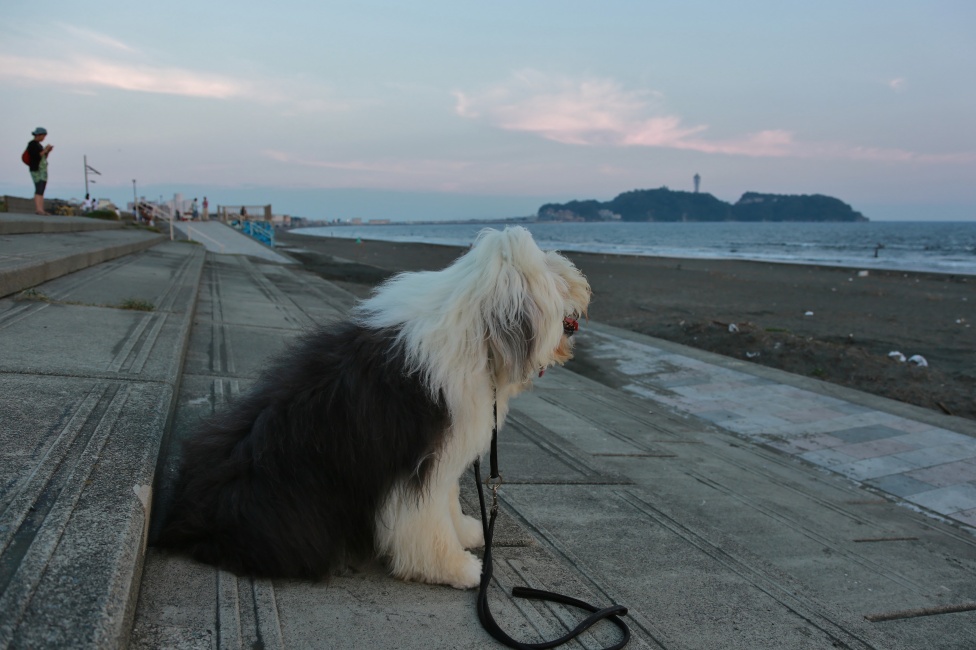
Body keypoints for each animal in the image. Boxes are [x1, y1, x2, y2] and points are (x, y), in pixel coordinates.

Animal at [156, 226, 590, 589]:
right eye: (553, 276)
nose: (581, 285)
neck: (478, 335)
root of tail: (181, 519)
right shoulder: (418, 465)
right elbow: (427, 520)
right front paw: (458, 568)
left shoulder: (443, 455)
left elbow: (448, 500)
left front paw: (468, 531)